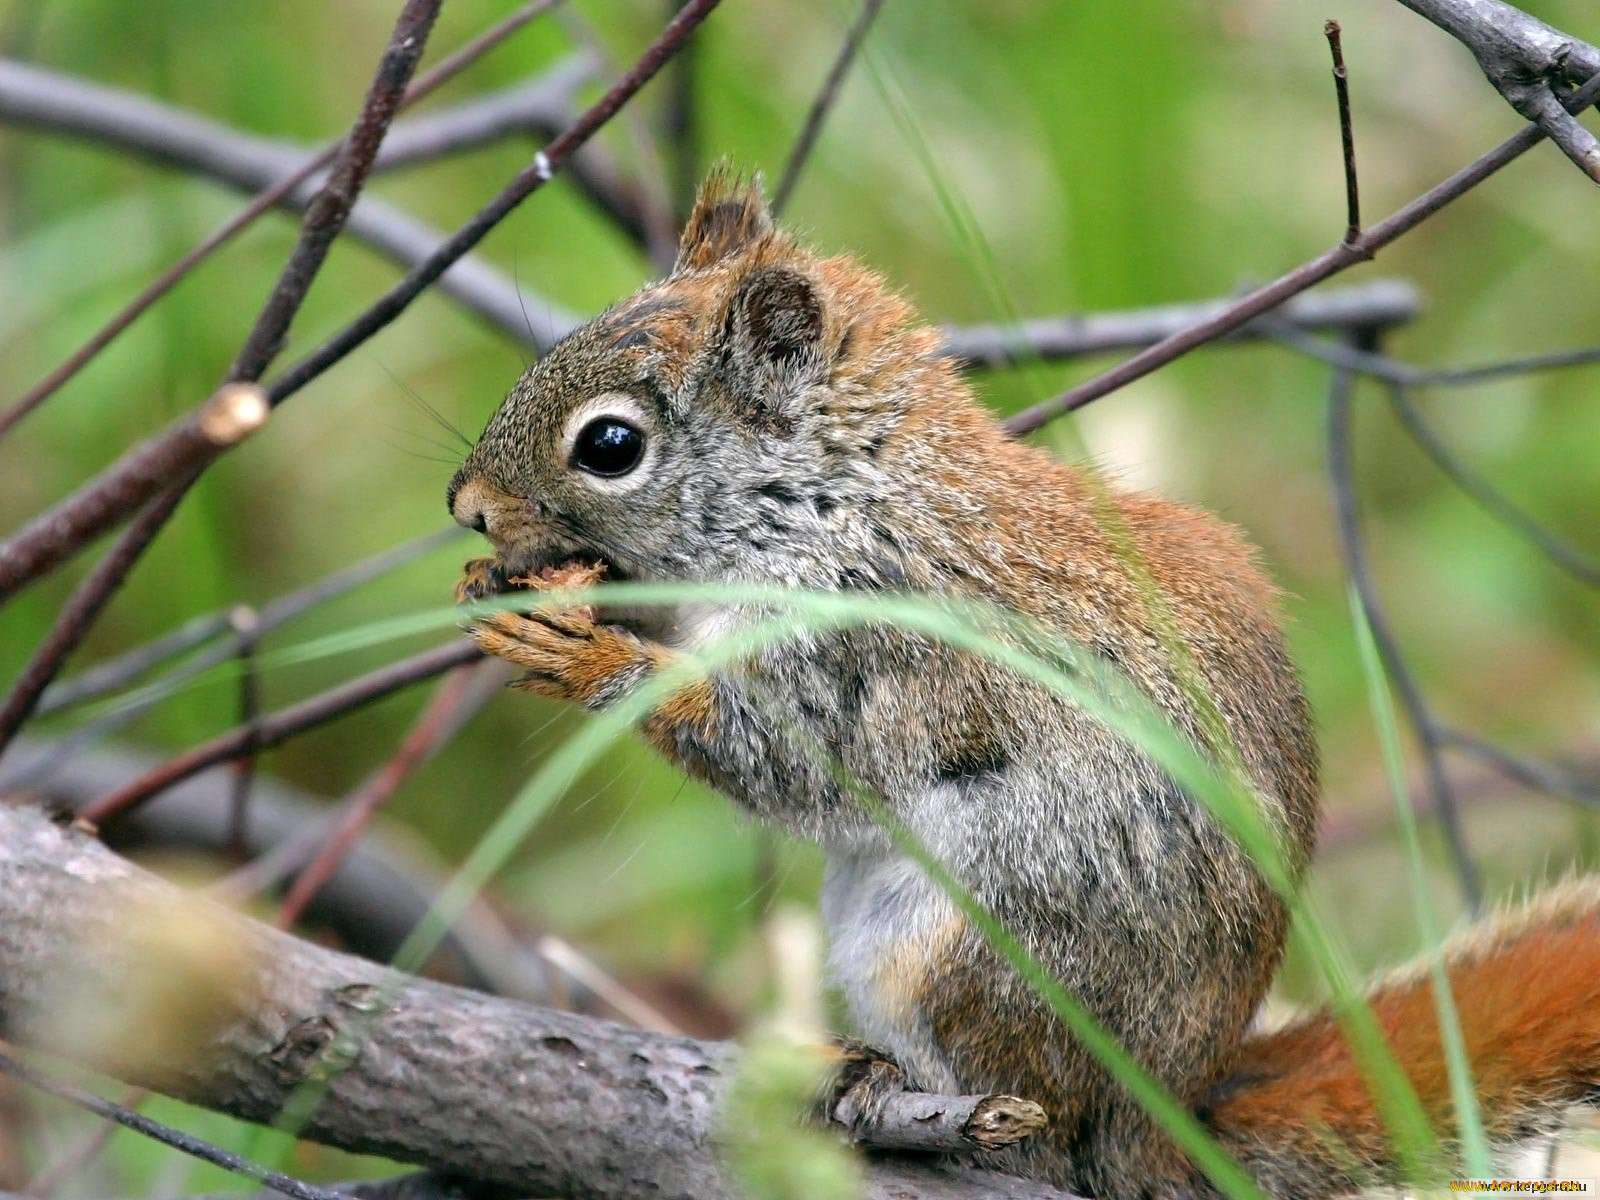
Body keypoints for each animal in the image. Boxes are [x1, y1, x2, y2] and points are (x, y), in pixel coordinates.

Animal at [448, 171, 1600, 1200]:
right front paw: (499, 593)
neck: (834, 502)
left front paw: (586, 657)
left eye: (610, 445)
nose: (466, 507)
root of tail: (1160, 1124)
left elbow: (778, 759)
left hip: (969, 951)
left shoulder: (865, 646)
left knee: (1035, 1128)